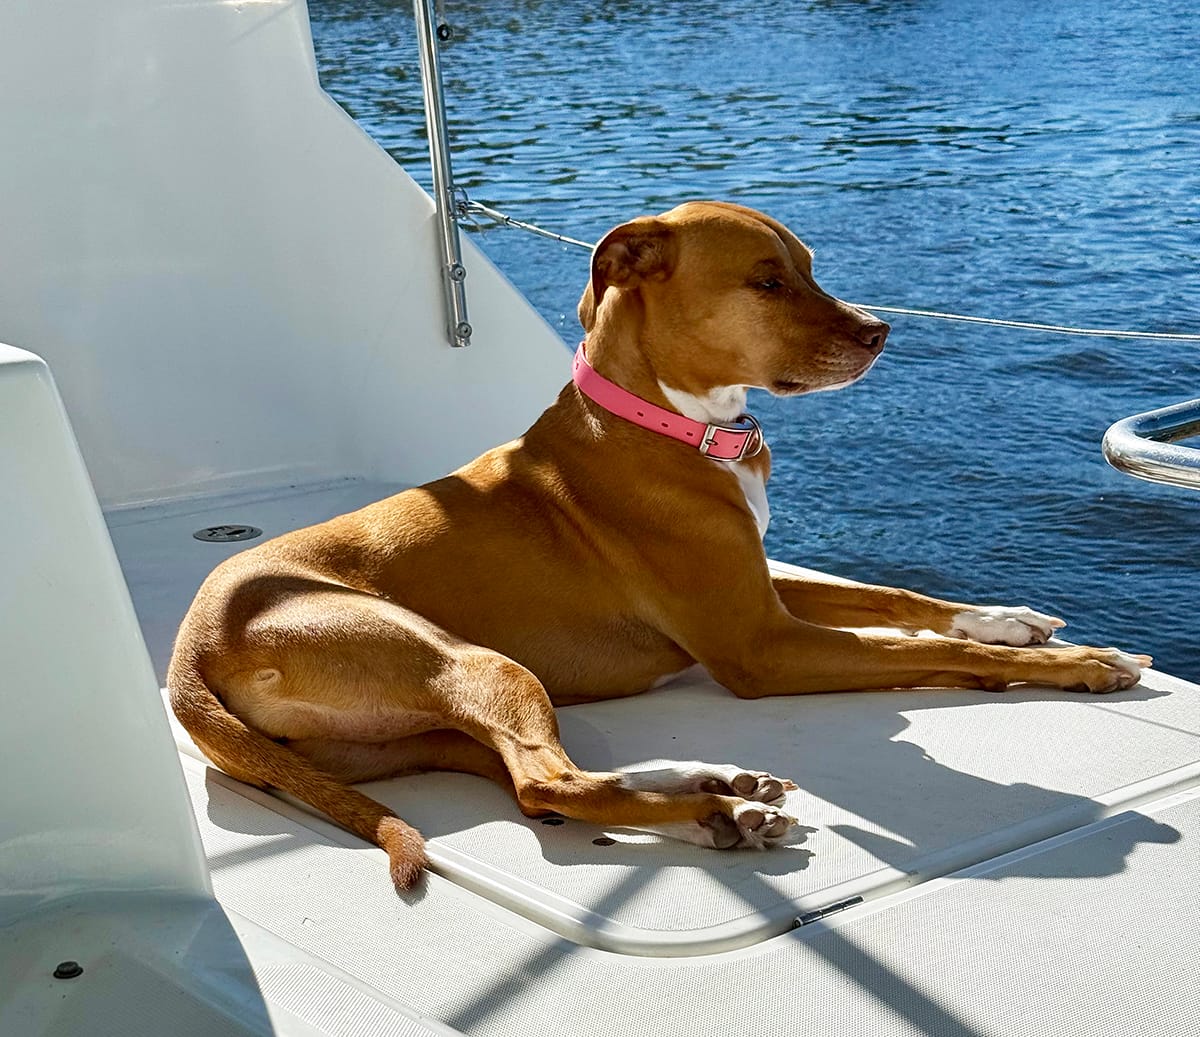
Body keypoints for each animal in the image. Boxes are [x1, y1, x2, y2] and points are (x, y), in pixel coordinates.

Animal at [169, 201, 1150, 891]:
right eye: (765, 281)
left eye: (807, 267)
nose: (880, 331)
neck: (675, 426)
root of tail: (189, 661)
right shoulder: (760, 644)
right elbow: (921, 651)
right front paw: (1081, 664)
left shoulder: (766, 590)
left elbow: (904, 603)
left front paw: (1008, 617)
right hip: (463, 658)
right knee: (544, 784)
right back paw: (714, 811)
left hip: (408, 733)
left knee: (523, 771)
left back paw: (714, 790)